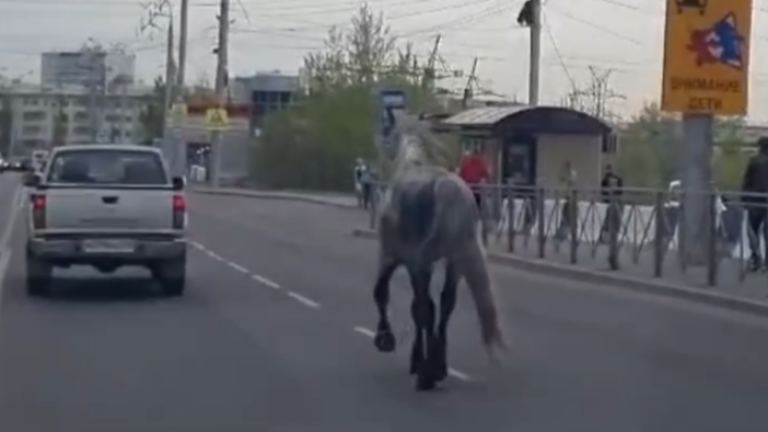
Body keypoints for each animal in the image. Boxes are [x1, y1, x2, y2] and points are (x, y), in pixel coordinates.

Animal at [370, 115, 504, 392]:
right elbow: (431, 305)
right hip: (455, 262)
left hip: (419, 262)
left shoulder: (393, 257)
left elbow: (383, 293)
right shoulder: (429, 263)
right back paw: (437, 366)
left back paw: (426, 373)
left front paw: (387, 340)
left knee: (425, 307)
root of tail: (448, 190)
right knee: (446, 303)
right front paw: (425, 362)